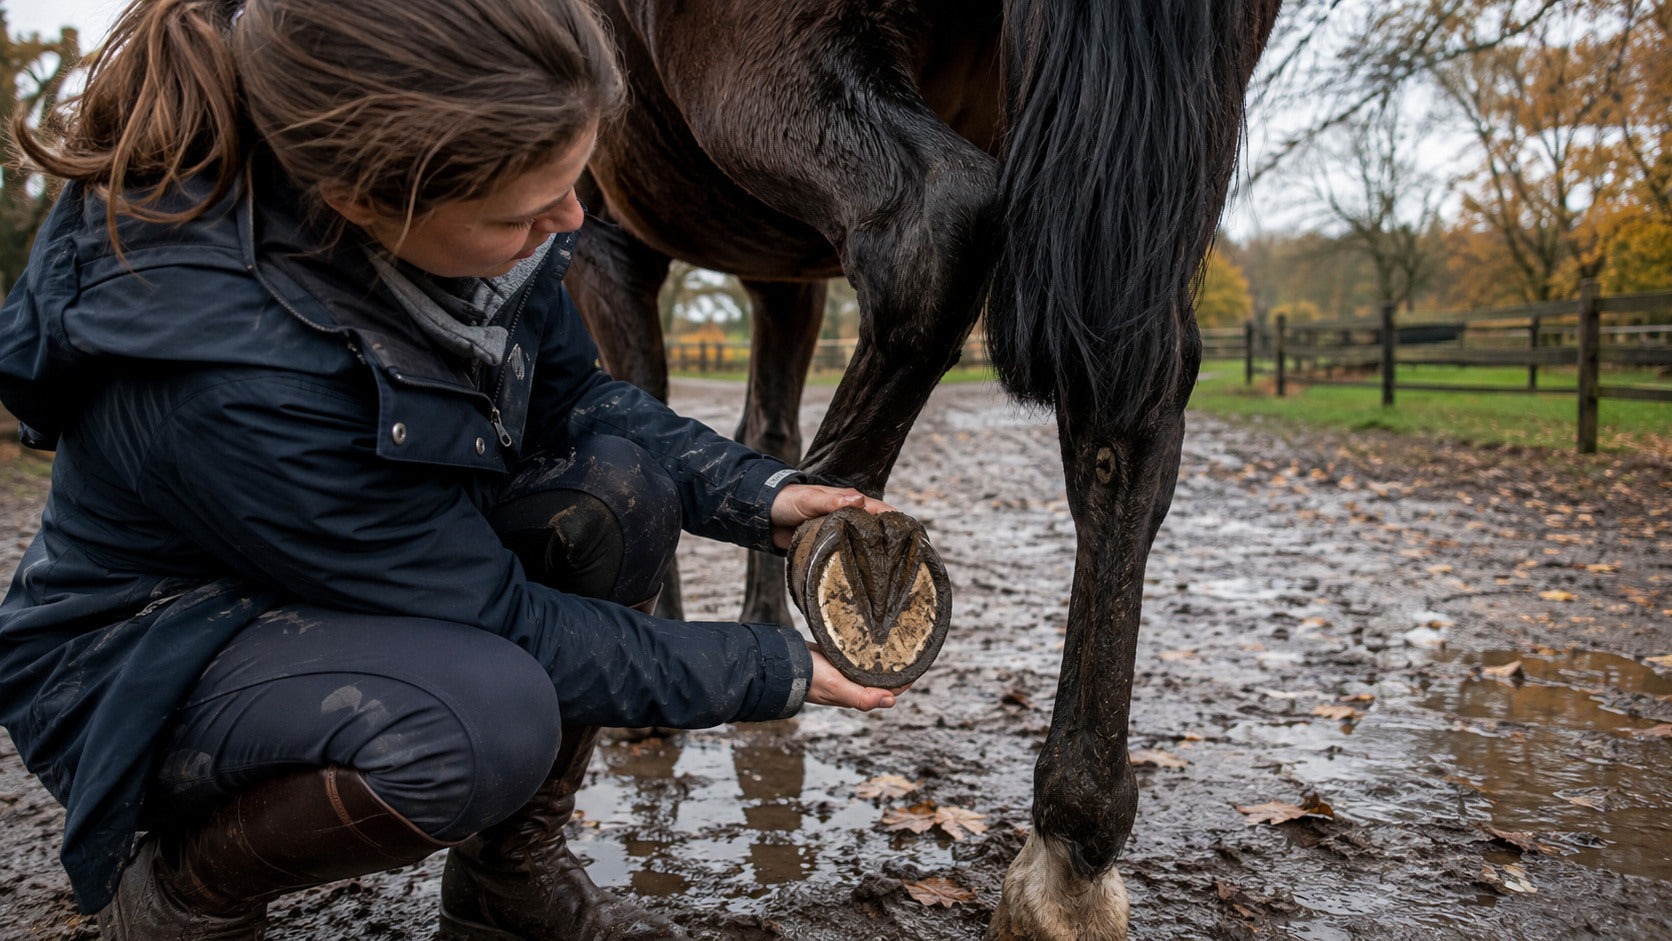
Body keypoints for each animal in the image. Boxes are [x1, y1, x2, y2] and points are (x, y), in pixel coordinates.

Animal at [567, 1, 1282, 937]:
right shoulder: (768, 267)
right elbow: (744, 420)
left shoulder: (606, 235)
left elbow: (642, 404)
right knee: (1128, 405)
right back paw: (1070, 851)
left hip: (760, 65)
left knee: (934, 225)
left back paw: (843, 538)